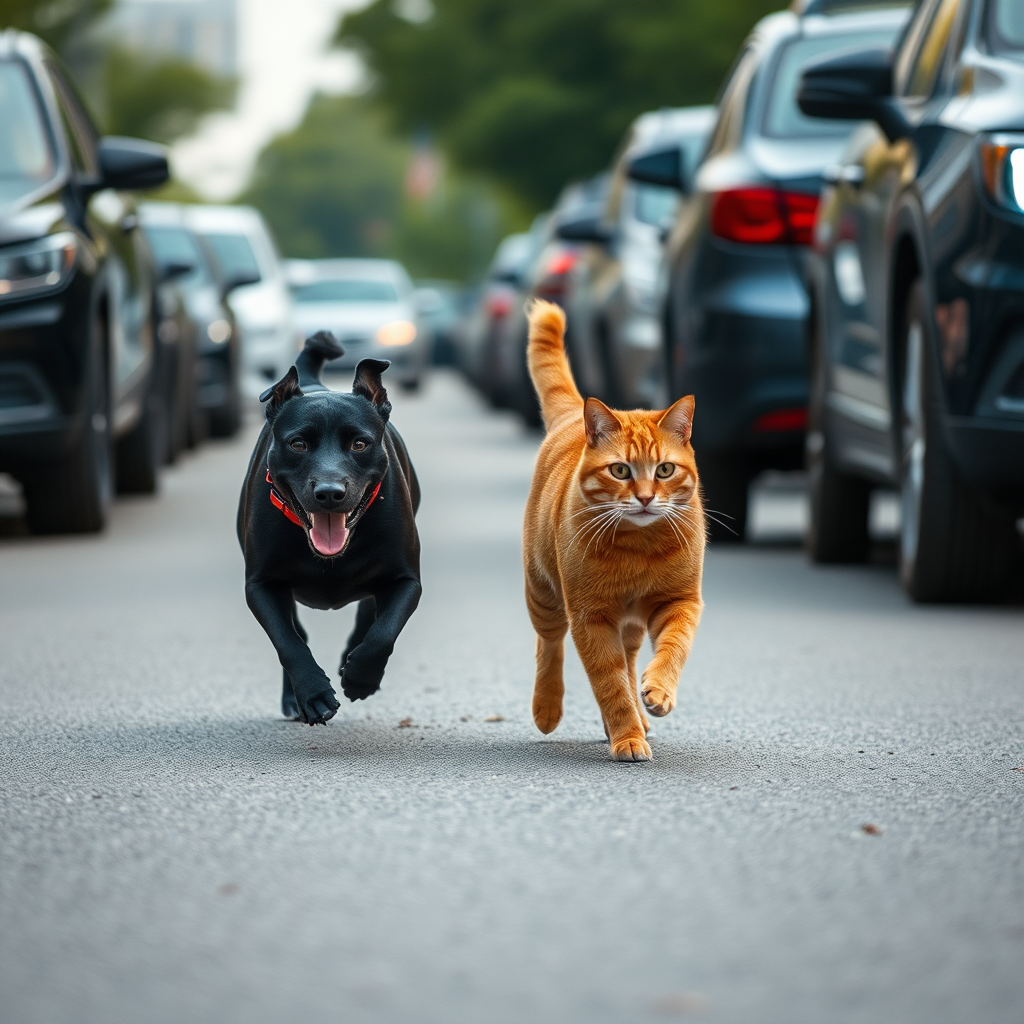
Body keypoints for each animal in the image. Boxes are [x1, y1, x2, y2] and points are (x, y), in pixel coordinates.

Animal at [236, 331, 419, 724]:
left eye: (360, 443)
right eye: (298, 443)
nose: (330, 492)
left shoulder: (406, 580)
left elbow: (383, 632)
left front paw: (361, 676)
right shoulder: (261, 585)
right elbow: (288, 642)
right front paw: (312, 693)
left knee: (369, 610)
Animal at [520, 299, 704, 761]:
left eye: (665, 470)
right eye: (620, 470)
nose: (645, 498)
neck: (640, 547)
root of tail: (573, 414)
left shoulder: (680, 603)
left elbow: (672, 650)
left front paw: (657, 693)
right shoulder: (591, 618)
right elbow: (610, 685)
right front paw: (627, 737)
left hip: (631, 623)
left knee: (631, 657)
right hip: (543, 593)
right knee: (549, 645)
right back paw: (547, 707)